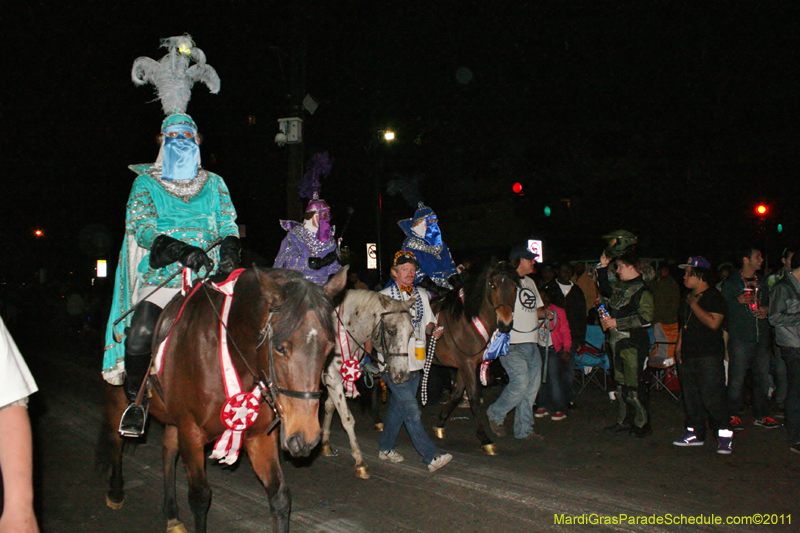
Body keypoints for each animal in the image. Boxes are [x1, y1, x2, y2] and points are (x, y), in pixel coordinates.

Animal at [104, 266, 346, 532]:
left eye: (329, 347)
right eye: (280, 348)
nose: (306, 437)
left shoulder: (259, 436)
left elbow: (280, 496)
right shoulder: (191, 432)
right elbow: (200, 498)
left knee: (168, 449)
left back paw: (172, 515)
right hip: (119, 398)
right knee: (115, 439)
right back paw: (115, 493)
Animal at [318, 288, 416, 480]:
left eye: (411, 332)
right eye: (391, 331)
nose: (402, 375)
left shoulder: (337, 378)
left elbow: (330, 407)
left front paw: (325, 443)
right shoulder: (332, 377)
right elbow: (347, 419)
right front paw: (360, 462)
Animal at [428, 258, 516, 454]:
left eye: (515, 286)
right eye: (493, 285)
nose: (505, 323)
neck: (467, 321)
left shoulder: (464, 365)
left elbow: (457, 394)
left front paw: (440, 424)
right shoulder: (466, 364)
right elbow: (474, 398)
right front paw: (484, 439)